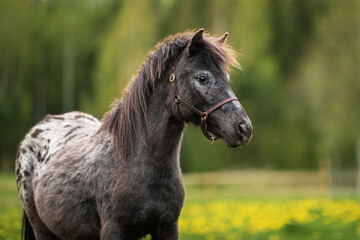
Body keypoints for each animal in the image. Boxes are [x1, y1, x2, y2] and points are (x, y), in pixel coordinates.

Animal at [15, 29, 252, 239]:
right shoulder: (114, 230)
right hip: (42, 229)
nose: (244, 128)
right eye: (202, 78)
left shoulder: (167, 229)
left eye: (227, 77)